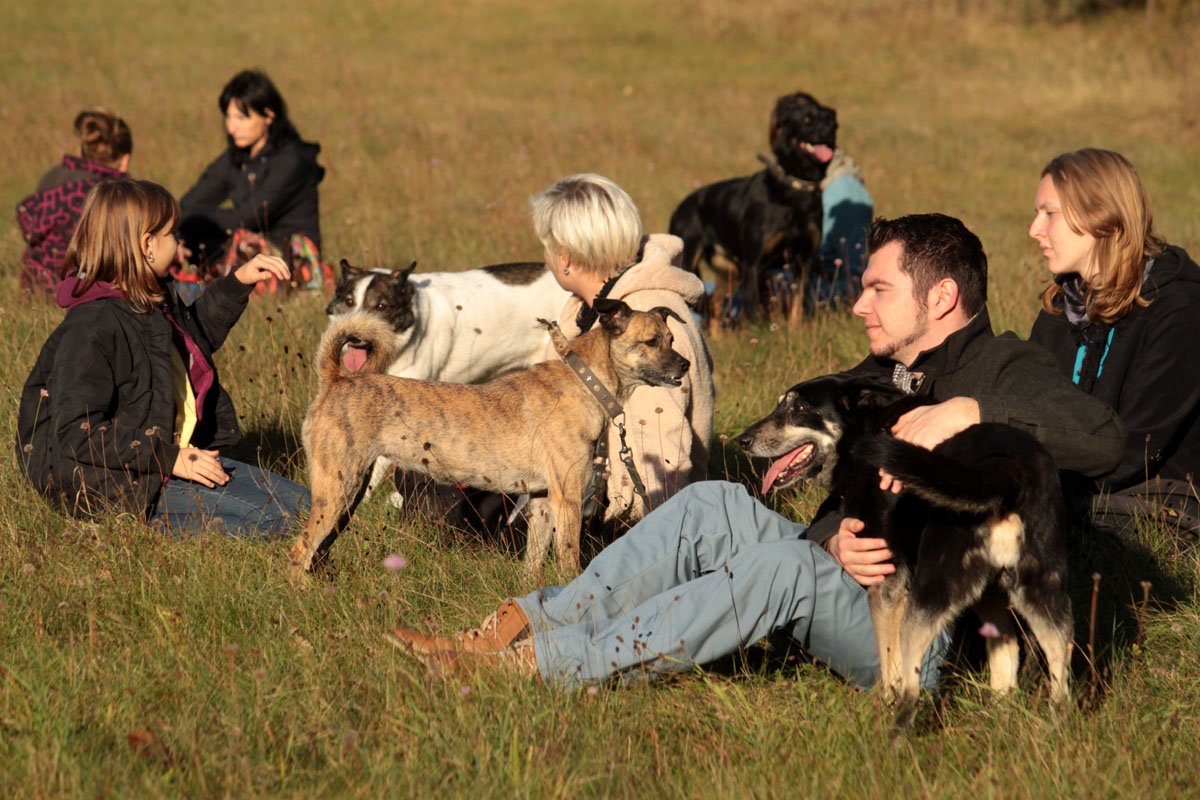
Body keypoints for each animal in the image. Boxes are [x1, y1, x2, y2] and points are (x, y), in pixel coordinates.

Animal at [291, 297, 691, 578]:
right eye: (651, 342)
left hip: (350, 491)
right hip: (337, 489)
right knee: (299, 552)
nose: (685, 364)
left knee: (317, 550)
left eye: (672, 338)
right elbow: (568, 558)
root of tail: (335, 381)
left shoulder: (542, 500)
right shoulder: (568, 499)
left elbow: (533, 560)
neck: (585, 381)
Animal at [672, 92, 840, 328]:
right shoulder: (754, 264)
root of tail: (681, 207)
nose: (827, 132)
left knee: (713, 305)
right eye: (807, 119)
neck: (796, 190)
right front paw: (756, 334)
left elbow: (798, 304)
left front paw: (795, 329)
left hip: (730, 271)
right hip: (690, 261)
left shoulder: (804, 260)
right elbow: (752, 310)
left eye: (832, 122)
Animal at [734, 374, 1075, 724]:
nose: (741, 440)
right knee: (1037, 660)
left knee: (914, 681)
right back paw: (1023, 718)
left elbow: (890, 661)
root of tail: (1003, 471)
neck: (866, 430)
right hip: (1028, 592)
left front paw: (885, 700)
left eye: (799, 408)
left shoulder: (887, 583)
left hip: (931, 591)